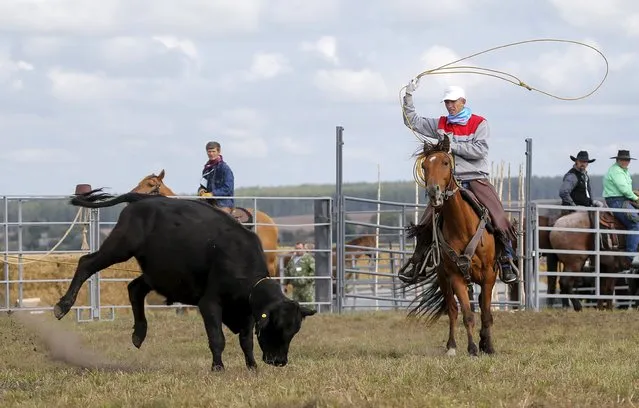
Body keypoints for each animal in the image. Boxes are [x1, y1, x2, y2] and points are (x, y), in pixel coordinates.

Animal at [400, 135, 500, 356]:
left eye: (446, 162)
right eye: (425, 166)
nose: (433, 192)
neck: (463, 226)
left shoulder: (489, 275)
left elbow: (486, 313)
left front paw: (488, 346)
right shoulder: (455, 275)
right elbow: (467, 314)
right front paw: (472, 348)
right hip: (443, 277)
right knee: (453, 310)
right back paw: (452, 346)